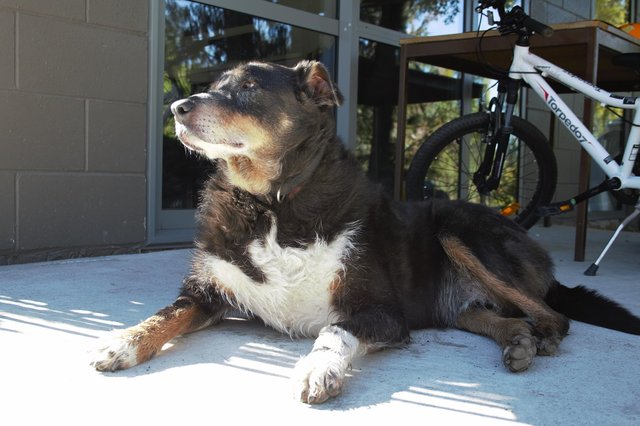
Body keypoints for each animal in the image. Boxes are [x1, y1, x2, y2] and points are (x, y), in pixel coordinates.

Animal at [92, 59, 640, 402]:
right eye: (217, 82)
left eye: (249, 87)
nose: (178, 107)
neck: (273, 203)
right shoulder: (206, 292)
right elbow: (165, 314)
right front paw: (121, 341)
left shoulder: (382, 312)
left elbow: (334, 331)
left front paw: (319, 369)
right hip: (457, 303)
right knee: (497, 317)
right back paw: (517, 341)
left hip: (458, 230)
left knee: (554, 316)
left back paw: (538, 340)